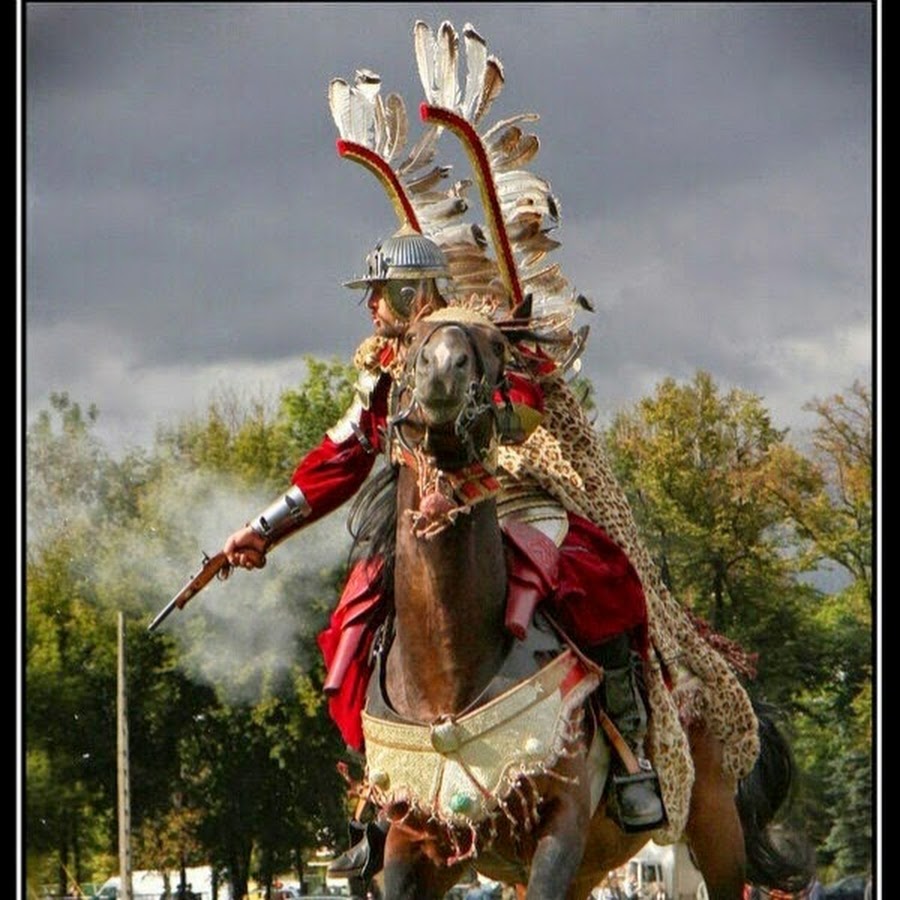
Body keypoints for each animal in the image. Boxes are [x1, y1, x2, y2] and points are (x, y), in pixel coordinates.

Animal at [348, 312, 812, 900]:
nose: (443, 371)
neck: (446, 679)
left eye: (495, 345)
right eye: (412, 340)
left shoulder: (560, 824)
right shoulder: (415, 843)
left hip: (714, 824)